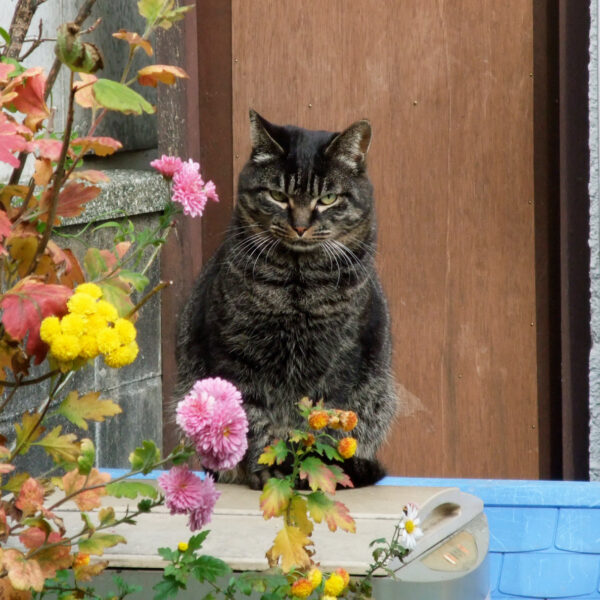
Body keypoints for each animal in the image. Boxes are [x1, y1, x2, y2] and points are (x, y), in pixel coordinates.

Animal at [175, 111, 398, 488]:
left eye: (328, 199)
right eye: (278, 195)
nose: (300, 226)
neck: (297, 287)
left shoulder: (340, 361)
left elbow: (322, 422)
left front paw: (311, 469)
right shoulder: (237, 355)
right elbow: (252, 419)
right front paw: (269, 466)